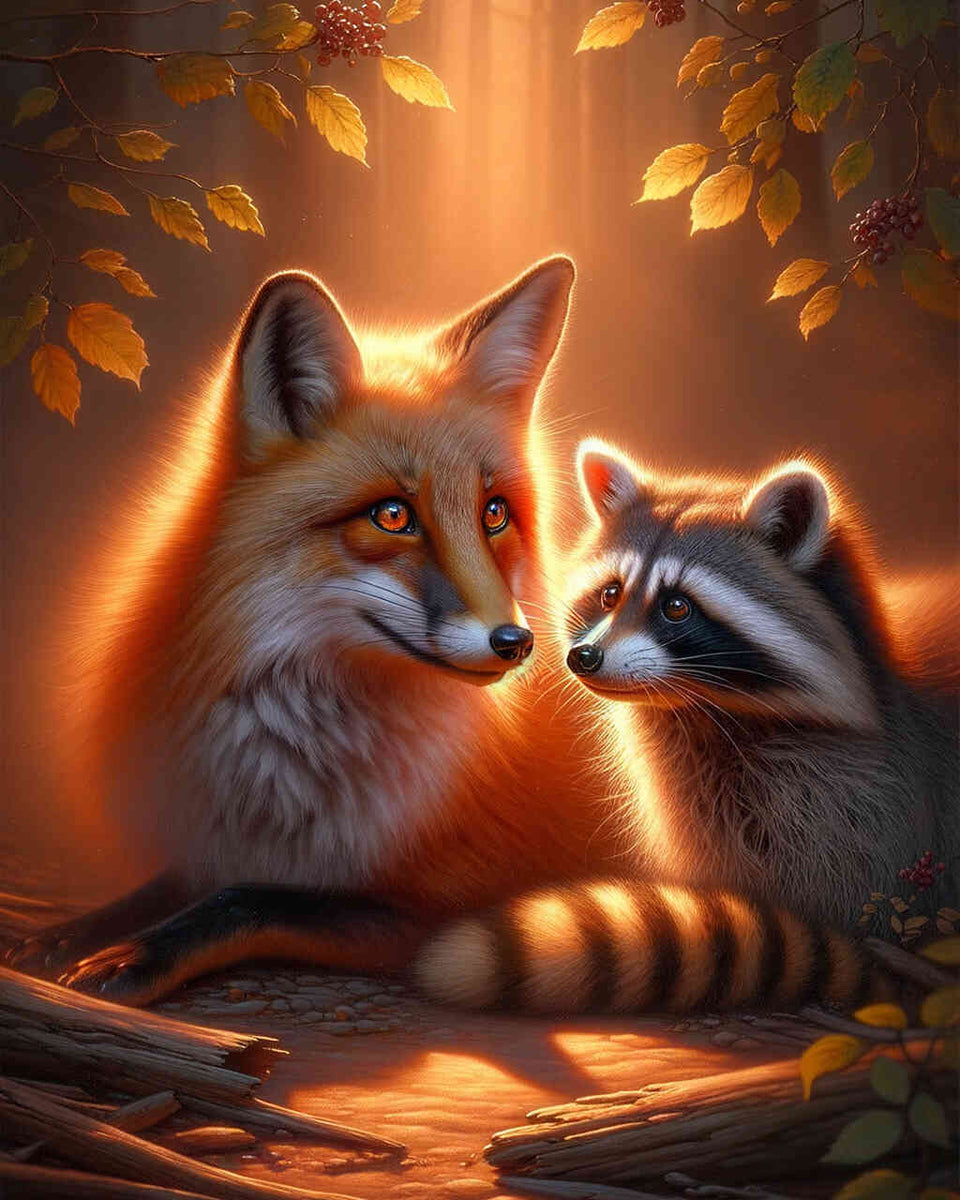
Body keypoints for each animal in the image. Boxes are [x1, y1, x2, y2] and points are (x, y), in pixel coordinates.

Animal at [9, 267, 888, 1016]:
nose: (521, 644)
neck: (296, 763)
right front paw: (61, 935)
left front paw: (135, 955)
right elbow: (175, 882)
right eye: (393, 515)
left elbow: (246, 899)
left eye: (494, 513)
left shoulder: (437, 909)